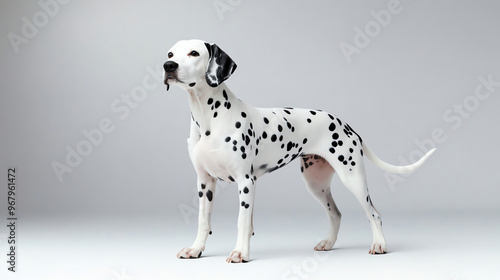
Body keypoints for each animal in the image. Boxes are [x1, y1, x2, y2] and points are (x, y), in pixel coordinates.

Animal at [163, 39, 434, 262]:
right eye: (170, 53)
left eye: (194, 53)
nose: (168, 65)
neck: (209, 119)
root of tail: (346, 124)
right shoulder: (205, 183)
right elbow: (203, 221)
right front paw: (195, 249)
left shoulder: (245, 181)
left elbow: (242, 221)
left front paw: (240, 252)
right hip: (316, 184)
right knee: (336, 214)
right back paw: (328, 243)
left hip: (353, 178)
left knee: (373, 214)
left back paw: (379, 245)